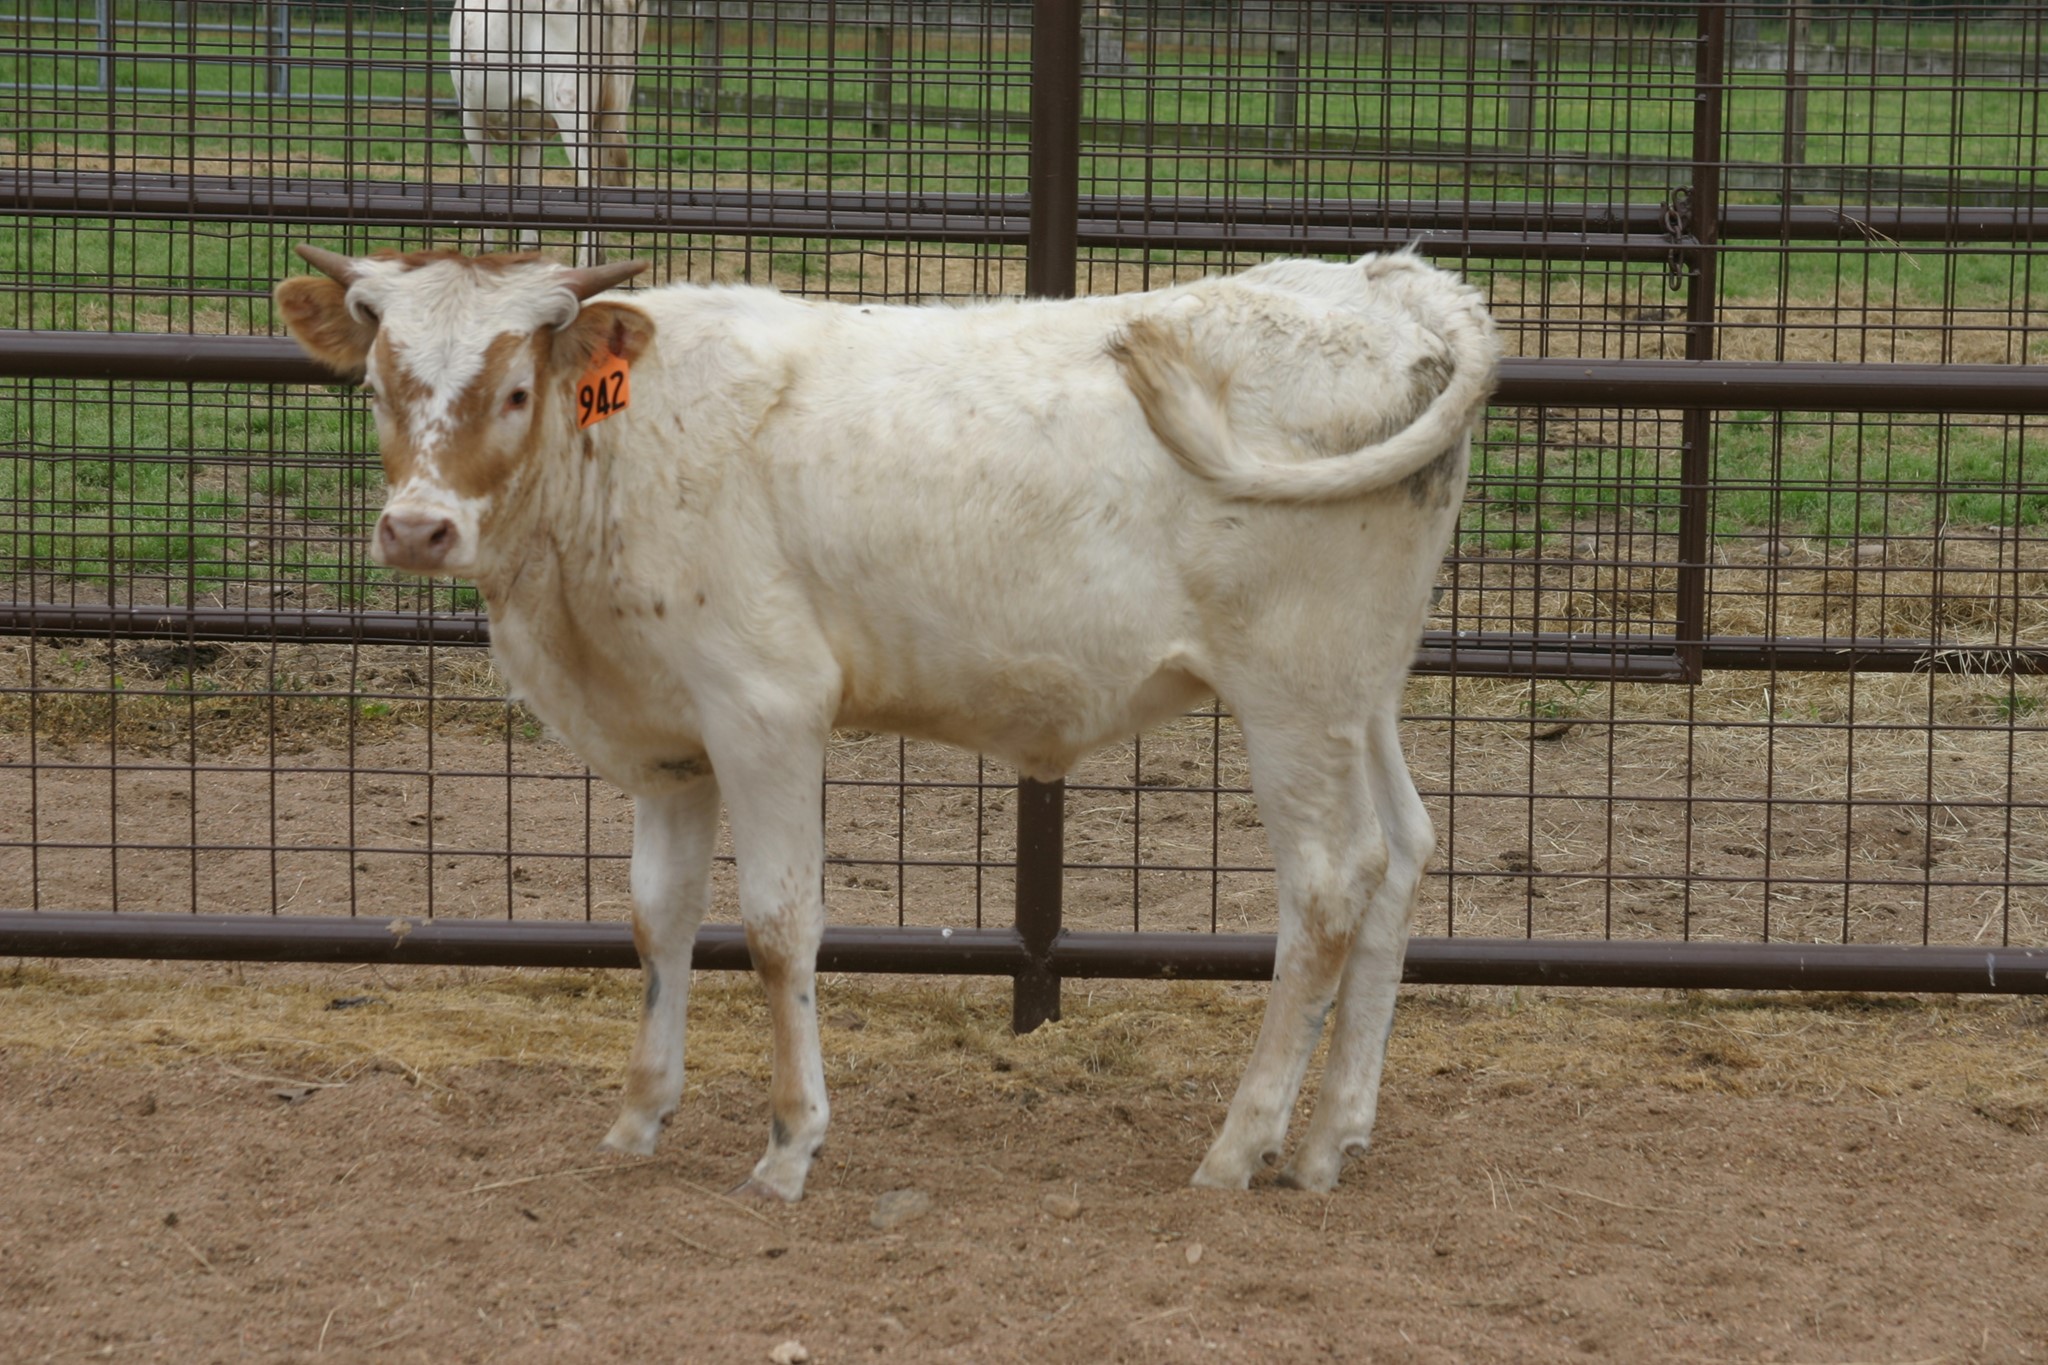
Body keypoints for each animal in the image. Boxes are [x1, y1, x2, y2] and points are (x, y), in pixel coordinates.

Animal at [273, 244, 1499, 1200]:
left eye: (517, 392)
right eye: (378, 385)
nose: (417, 529)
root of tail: (1384, 282)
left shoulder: (765, 709)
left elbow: (777, 927)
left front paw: (789, 1145)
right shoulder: (671, 745)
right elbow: (659, 923)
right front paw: (637, 1119)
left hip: (1291, 694)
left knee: (1329, 884)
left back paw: (1238, 1148)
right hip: (1359, 693)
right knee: (1401, 854)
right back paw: (1329, 1141)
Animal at [449, 0, 645, 266]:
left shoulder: (471, 114)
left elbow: (487, 178)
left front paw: (483, 250)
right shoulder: (531, 130)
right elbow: (528, 185)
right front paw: (527, 250)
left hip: (569, 100)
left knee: (591, 179)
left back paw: (585, 263)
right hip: (616, 100)